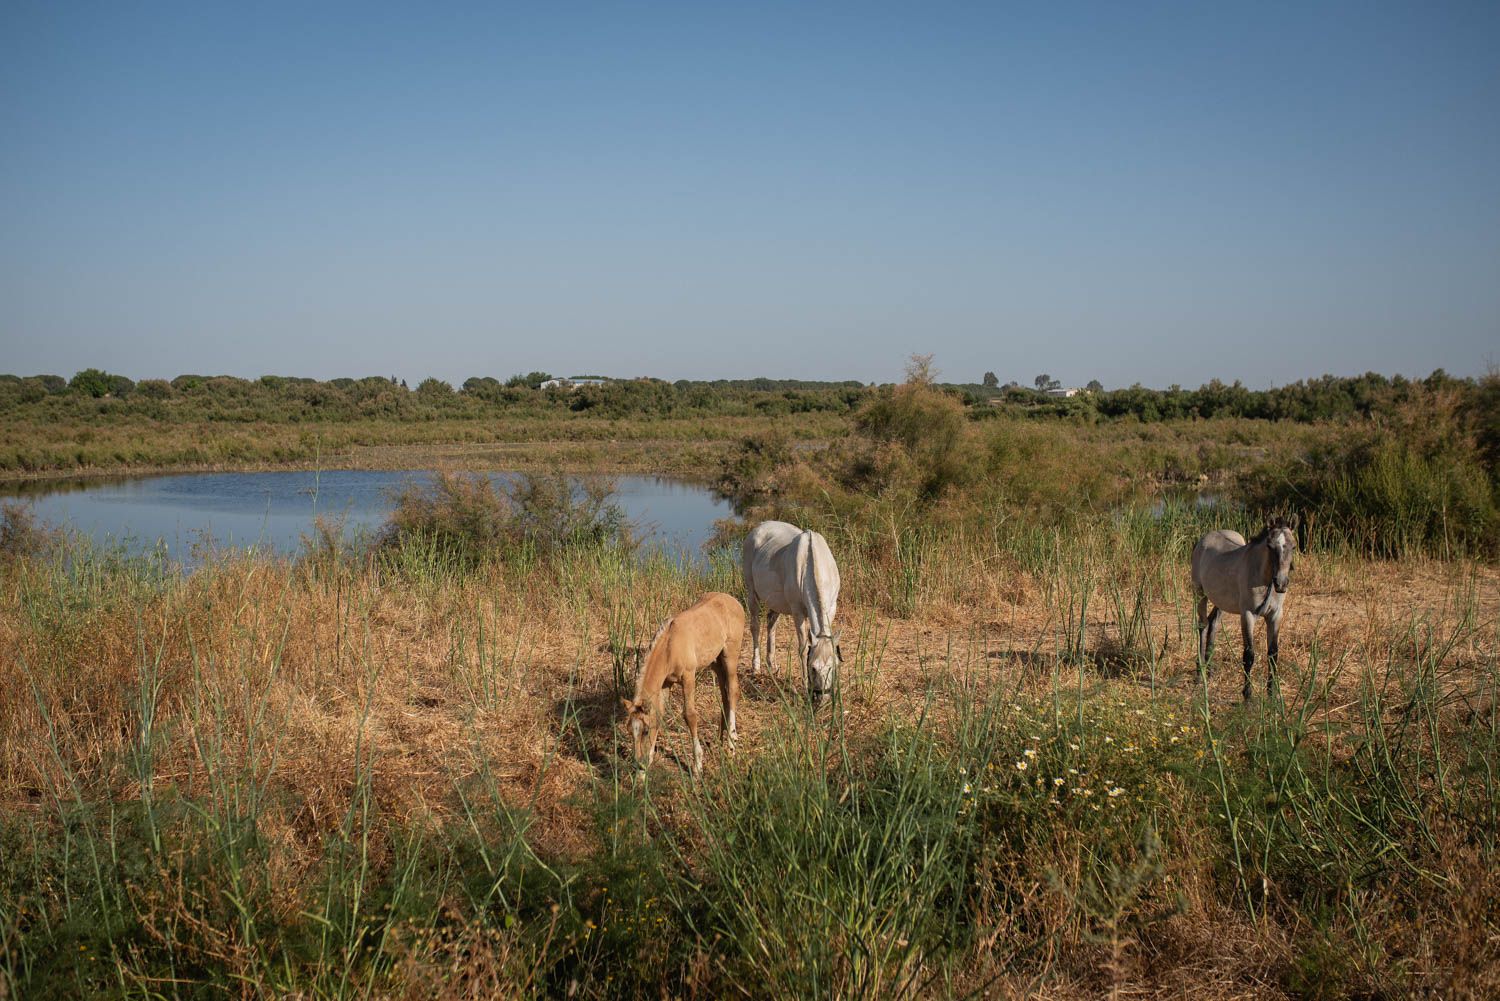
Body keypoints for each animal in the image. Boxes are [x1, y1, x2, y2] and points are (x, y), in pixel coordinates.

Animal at [620, 592, 744, 776]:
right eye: (629, 730)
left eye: (645, 730)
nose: (638, 764)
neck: (670, 646)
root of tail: (733, 600)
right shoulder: (665, 683)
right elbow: (659, 714)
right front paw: (644, 771)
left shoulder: (688, 677)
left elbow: (690, 715)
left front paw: (698, 766)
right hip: (716, 661)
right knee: (725, 694)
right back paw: (721, 737)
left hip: (730, 655)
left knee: (733, 691)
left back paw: (731, 743)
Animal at [742, 520, 842, 705]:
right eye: (813, 668)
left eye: (833, 667)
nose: (822, 698)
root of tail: (758, 527)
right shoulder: (798, 612)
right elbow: (802, 648)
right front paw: (803, 685)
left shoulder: (832, 608)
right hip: (752, 592)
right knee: (755, 626)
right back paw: (756, 667)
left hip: (776, 601)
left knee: (771, 622)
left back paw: (772, 665)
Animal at [1191, 516, 1299, 701]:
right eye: (1270, 546)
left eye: (1293, 546)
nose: (1281, 583)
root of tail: (1204, 539)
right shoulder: (1248, 615)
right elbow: (1249, 655)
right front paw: (1247, 695)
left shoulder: (1275, 615)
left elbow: (1273, 654)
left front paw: (1271, 694)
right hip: (1200, 595)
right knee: (1203, 625)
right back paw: (1200, 673)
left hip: (1220, 601)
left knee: (1213, 623)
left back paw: (1210, 670)